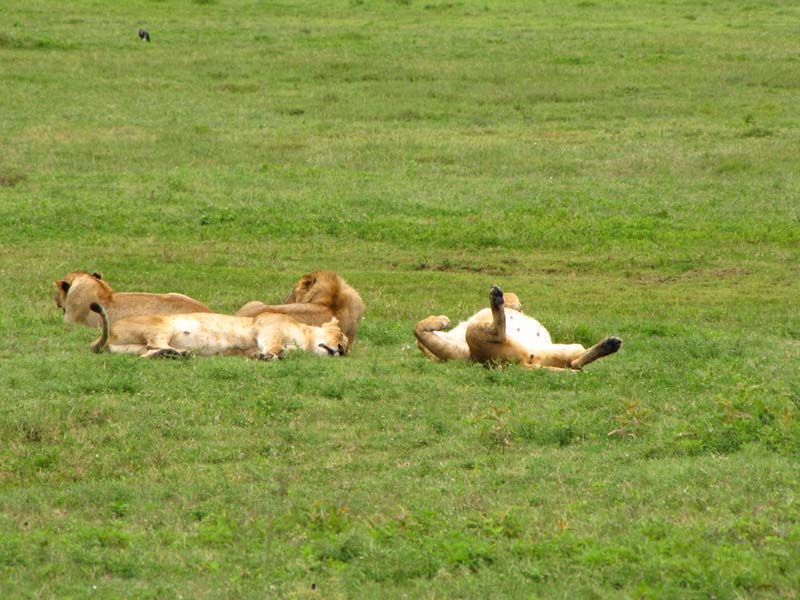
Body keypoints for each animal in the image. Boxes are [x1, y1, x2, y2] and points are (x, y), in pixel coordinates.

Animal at [414, 286, 621, 371]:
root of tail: (522, 364)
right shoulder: (457, 353)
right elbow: (417, 330)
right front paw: (442, 320)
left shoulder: (456, 353)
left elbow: (418, 333)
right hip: (476, 337)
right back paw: (495, 299)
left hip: (562, 348)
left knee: (575, 362)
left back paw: (609, 345)